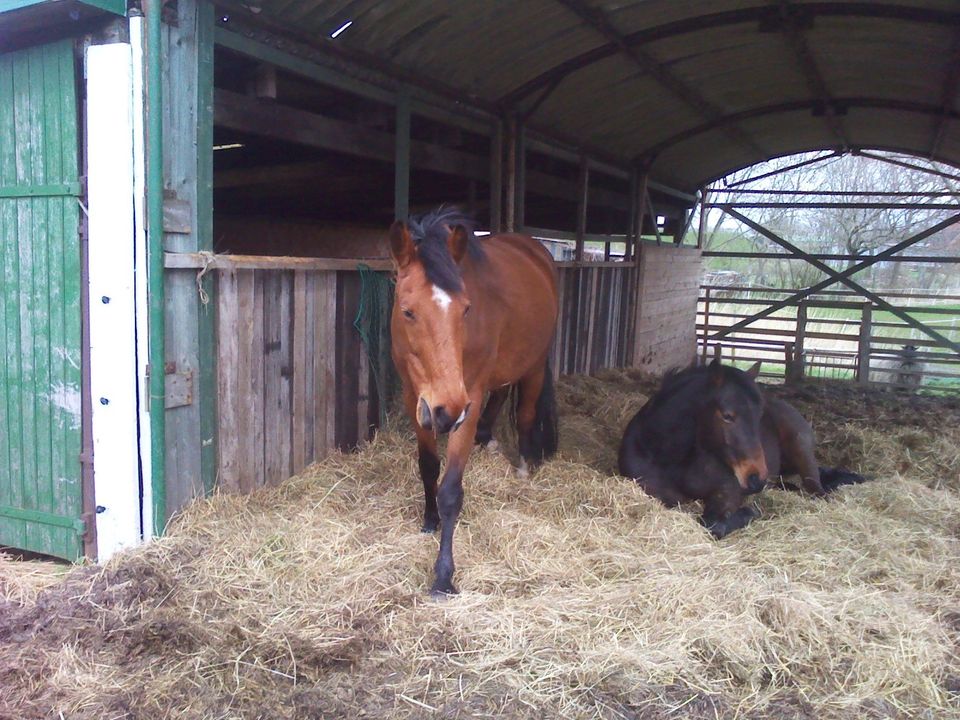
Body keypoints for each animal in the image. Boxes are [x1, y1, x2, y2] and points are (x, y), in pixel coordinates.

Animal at [388, 207, 560, 596]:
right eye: (407, 311)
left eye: (466, 310)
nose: (447, 409)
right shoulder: (415, 398)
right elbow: (428, 467)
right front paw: (429, 520)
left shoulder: (467, 401)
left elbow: (451, 490)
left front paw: (443, 575)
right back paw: (487, 439)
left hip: (535, 365)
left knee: (525, 412)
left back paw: (523, 464)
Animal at [620, 362, 868, 536]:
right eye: (727, 415)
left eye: (759, 414)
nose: (756, 478)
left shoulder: (727, 492)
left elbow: (713, 524)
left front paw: (749, 512)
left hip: (801, 449)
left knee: (817, 488)